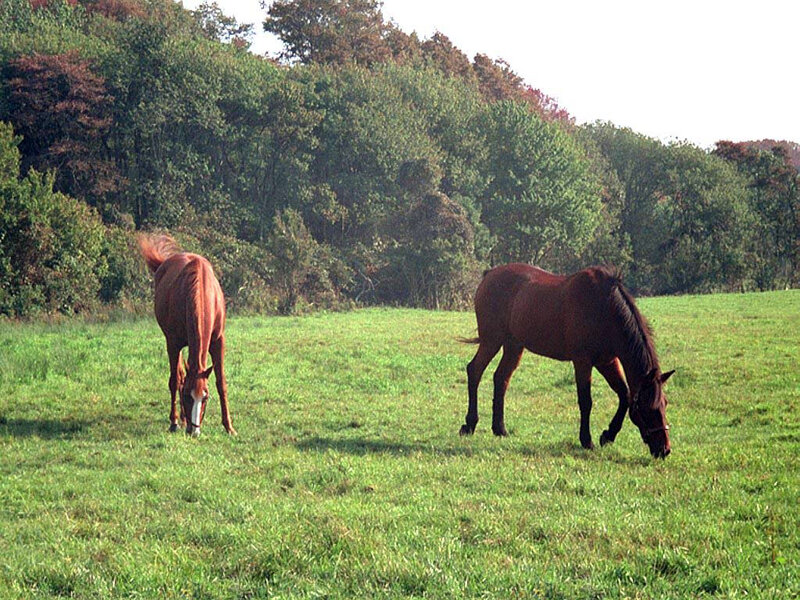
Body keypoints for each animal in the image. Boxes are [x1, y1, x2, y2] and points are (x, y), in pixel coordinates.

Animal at [139, 235, 235, 437]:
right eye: (186, 396)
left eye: (205, 397)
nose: (194, 431)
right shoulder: (173, 343)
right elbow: (175, 381)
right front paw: (174, 422)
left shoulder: (218, 341)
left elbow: (221, 382)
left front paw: (229, 426)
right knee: (179, 376)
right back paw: (180, 420)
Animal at [460, 264, 674, 458]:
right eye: (649, 409)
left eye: (665, 403)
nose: (664, 450)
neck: (604, 309)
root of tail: (489, 274)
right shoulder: (583, 362)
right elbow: (586, 401)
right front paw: (587, 440)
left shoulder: (607, 361)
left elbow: (625, 396)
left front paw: (608, 435)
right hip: (492, 341)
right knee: (475, 371)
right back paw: (469, 424)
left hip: (513, 345)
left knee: (501, 379)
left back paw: (499, 428)